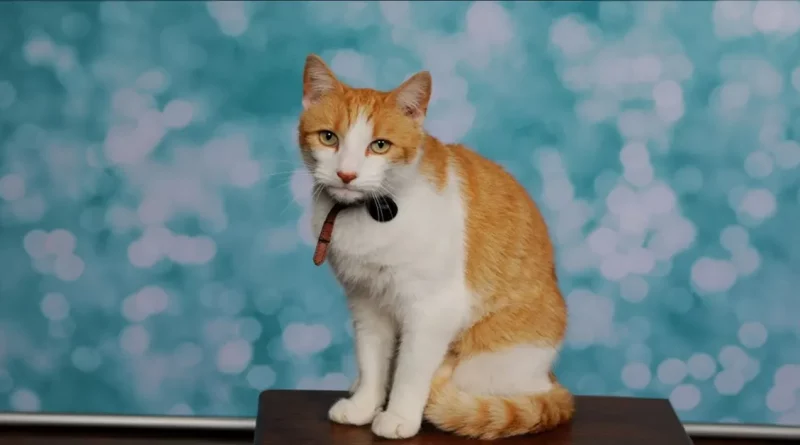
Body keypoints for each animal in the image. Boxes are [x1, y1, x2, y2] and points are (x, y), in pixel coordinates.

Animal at [296, 53, 572, 438]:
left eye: (379, 145)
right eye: (328, 138)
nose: (346, 175)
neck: (368, 213)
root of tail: (549, 377)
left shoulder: (433, 309)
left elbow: (411, 371)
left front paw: (398, 415)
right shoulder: (366, 303)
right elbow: (371, 360)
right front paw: (365, 404)